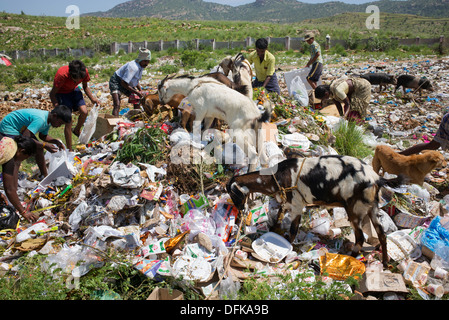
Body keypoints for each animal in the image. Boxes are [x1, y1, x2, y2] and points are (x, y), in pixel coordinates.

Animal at [226, 155, 404, 264]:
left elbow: (292, 232)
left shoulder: (297, 206)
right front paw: (274, 231)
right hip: (372, 208)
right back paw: (385, 262)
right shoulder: (286, 203)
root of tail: (376, 178)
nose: (239, 212)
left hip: (355, 209)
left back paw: (349, 258)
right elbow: (277, 219)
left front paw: (288, 249)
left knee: (360, 238)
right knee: (382, 235)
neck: (276, 177)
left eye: (232, 194)